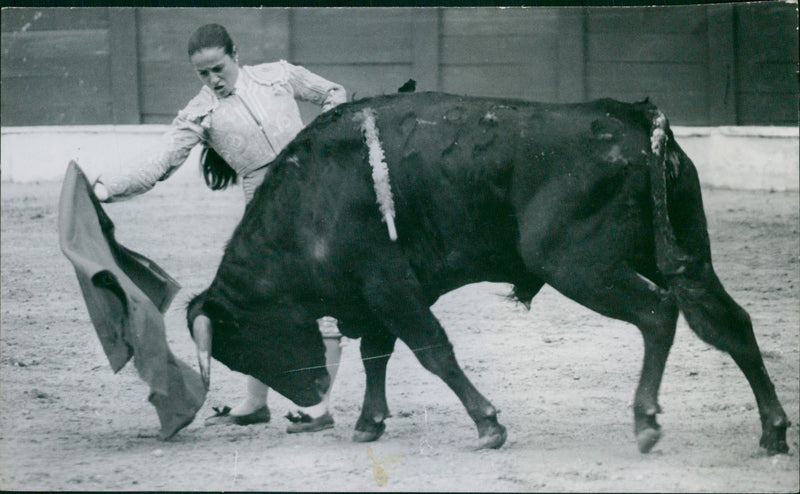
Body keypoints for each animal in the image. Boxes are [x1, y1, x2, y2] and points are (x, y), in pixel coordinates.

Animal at [186, 90, 788, 454]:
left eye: (241, 344)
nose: (310, 395)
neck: (311, 199)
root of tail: (634, 116)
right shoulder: (377, 295)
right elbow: (377, 354)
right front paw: (369, 423)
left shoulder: (390, 287)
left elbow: (432, 351)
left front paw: (489, 424)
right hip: (688, 255)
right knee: (730, 323)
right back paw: (773, 432)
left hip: (577, 263)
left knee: (658, 313)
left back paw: (646, 422)